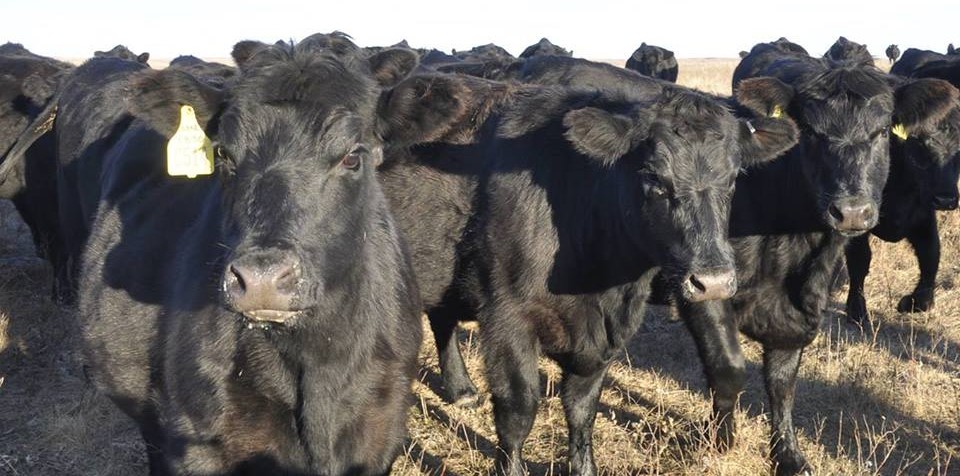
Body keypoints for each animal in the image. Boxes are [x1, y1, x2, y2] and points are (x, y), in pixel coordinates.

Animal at [49, 33, 444, 474]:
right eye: (223, 154)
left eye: (353, 156)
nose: (261, 280)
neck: (317, 362)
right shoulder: (196, 442)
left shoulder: (380, 435)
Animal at [664, 46, 958, 476]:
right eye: (813, 133)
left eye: (881, 132)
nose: (851, 212)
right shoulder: (703, 286)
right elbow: (728, 367)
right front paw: (721, 439)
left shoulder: (802, 302)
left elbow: (783, 381)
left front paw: (787, 454)